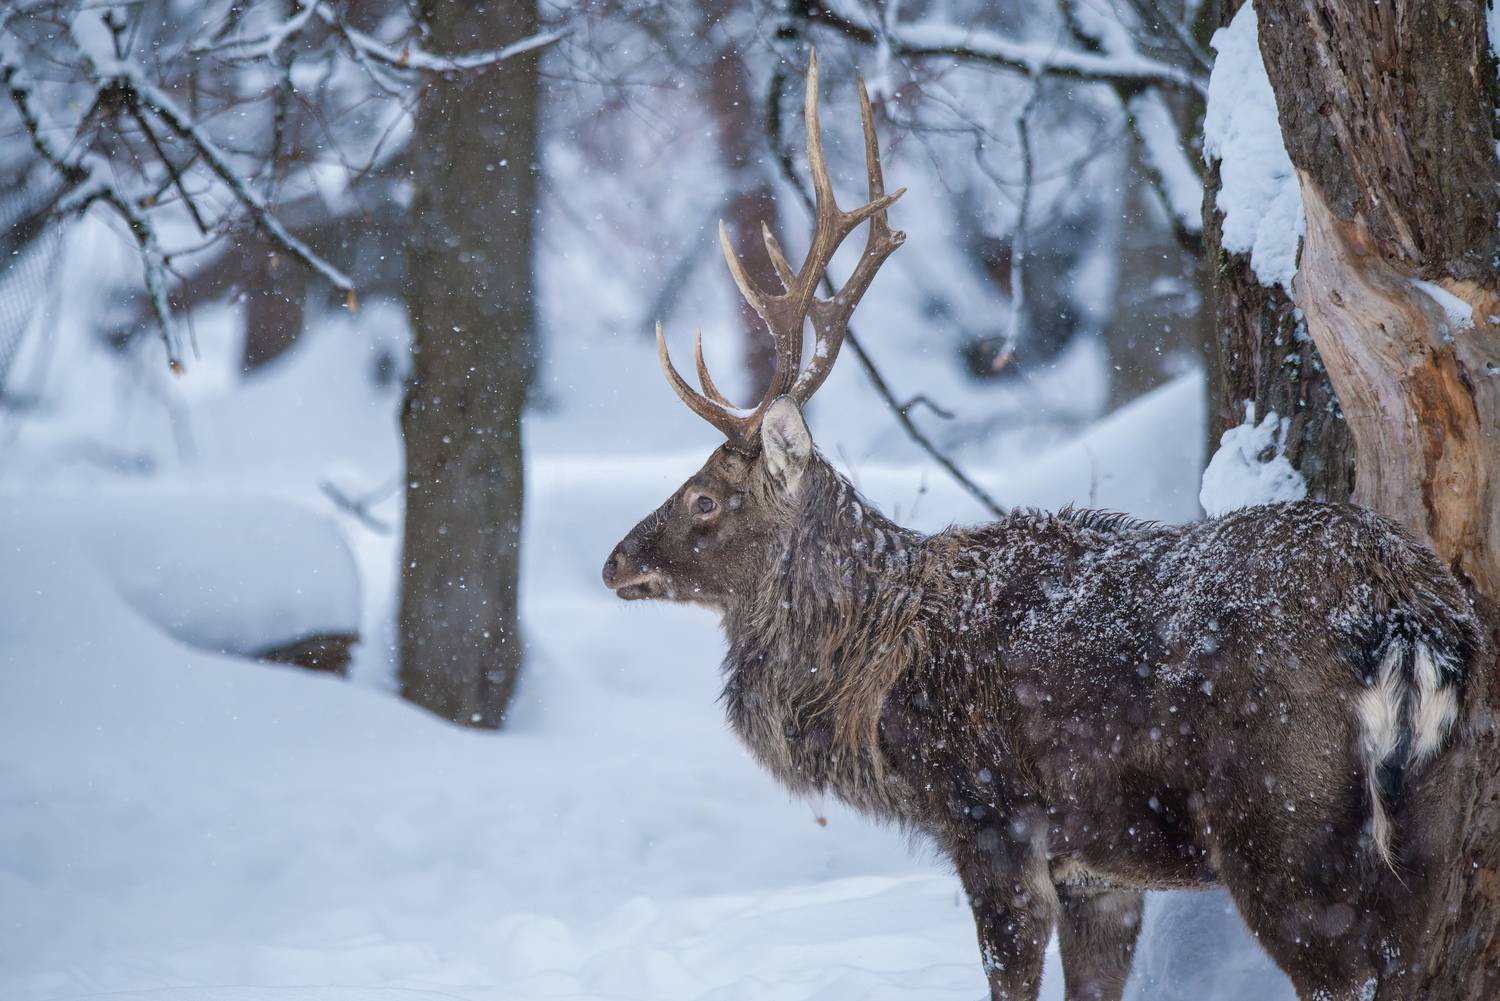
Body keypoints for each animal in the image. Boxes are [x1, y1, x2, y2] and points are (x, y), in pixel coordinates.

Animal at [602, 53, 1482, 1001]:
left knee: (1340, 969)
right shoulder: (1102, 872)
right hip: (1436, 813)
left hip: (1278, 816)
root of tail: (1404, 620)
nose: (614, 561)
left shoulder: (993, 822)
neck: (878, 679)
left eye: (704, 499)